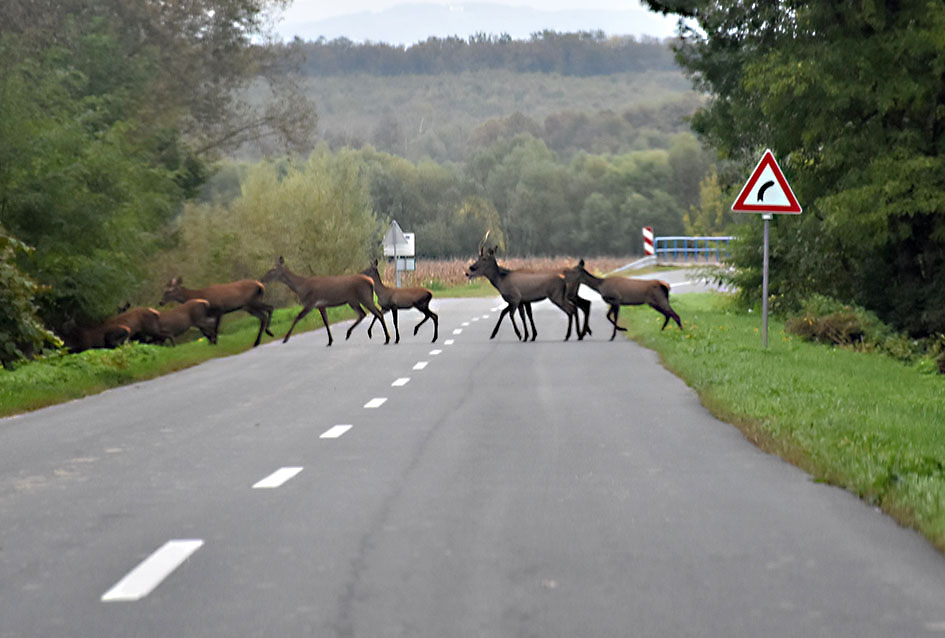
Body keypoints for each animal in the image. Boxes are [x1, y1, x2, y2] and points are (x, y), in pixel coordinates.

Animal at [260, 256, 390, 348]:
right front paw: (330, 341)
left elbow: (298, 317)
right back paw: (349, 333)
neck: (301, 287)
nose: (262, 279)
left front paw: (285, 338)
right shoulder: (320, 305)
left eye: (272, 270)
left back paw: (387, 338)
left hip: (364, 297)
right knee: (364, 313)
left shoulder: (311, 302)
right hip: (353, 300)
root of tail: (371, 282)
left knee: (377, 313)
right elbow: (326, 321)